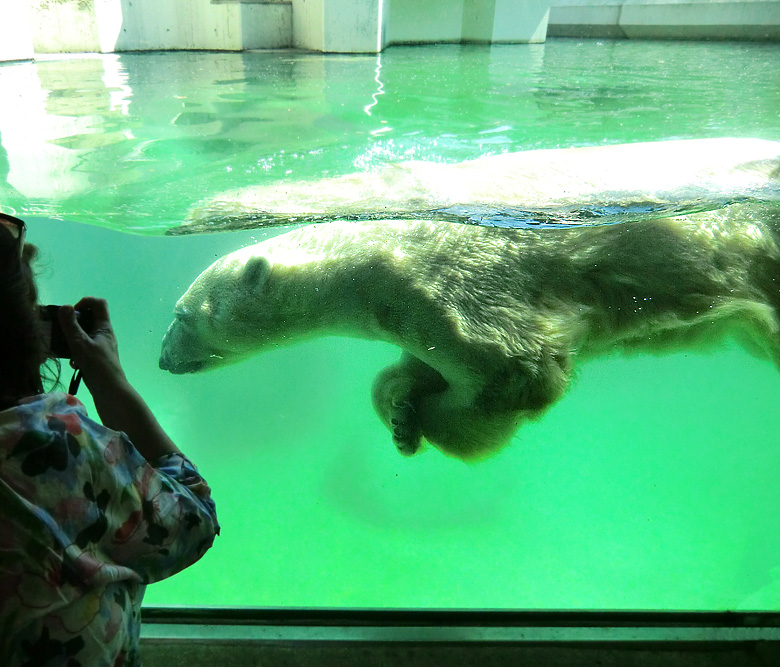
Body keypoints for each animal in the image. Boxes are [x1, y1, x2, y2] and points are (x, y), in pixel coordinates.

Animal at [157, 205, 780, 464]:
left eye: (182, 315)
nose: (163, 359)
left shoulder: (454, 291)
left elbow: (520, 373)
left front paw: (425, 422)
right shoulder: (417, 318)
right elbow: (421, 368)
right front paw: (401, 411)